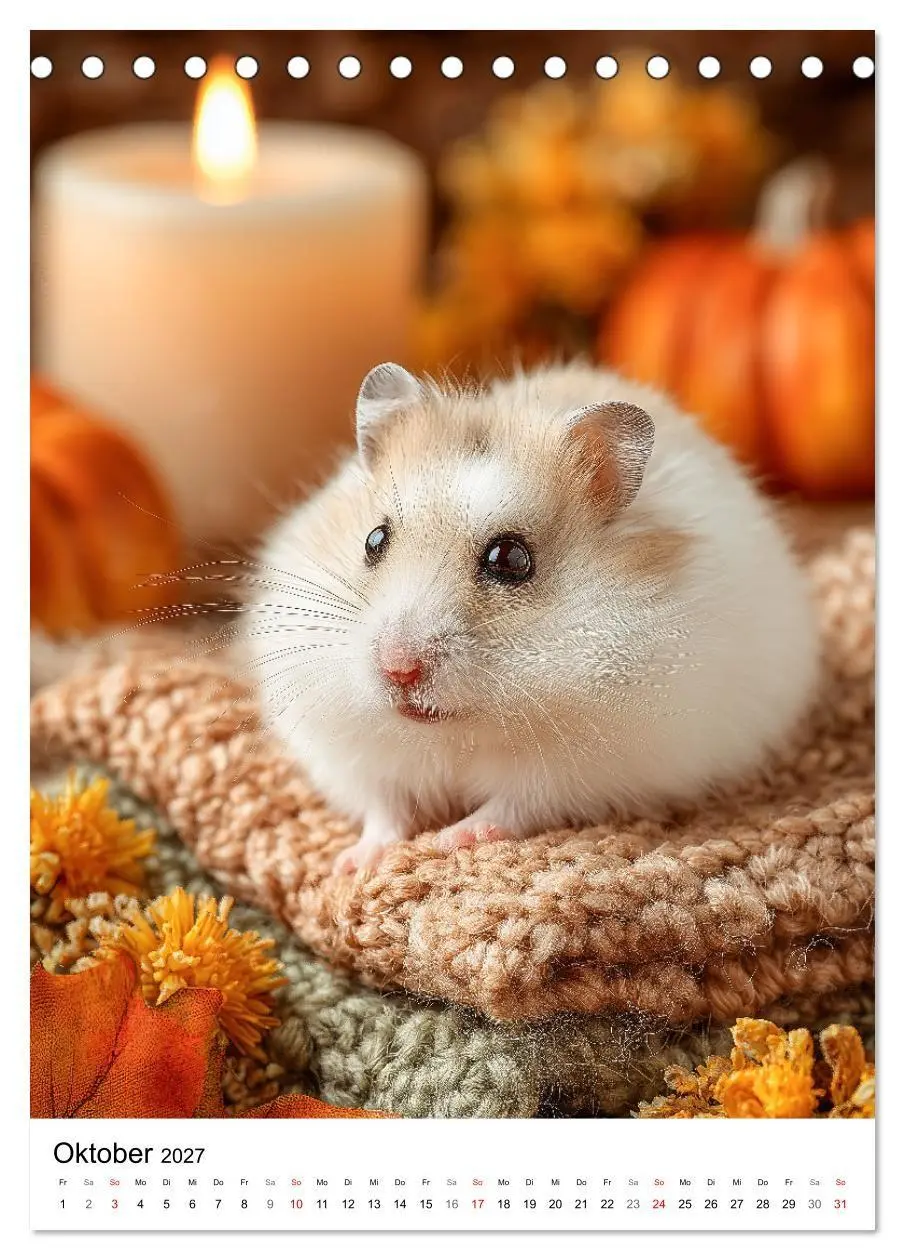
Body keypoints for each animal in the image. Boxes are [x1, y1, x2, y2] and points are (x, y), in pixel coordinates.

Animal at [246, 362, 820, 874]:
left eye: (511, 560)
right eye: (373, 540)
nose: (398, 670)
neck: (457, 732)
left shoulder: (578, 769)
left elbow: (512, 805)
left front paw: (449, 840)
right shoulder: (354, 755)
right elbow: (384, 809)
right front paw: (351, 865)